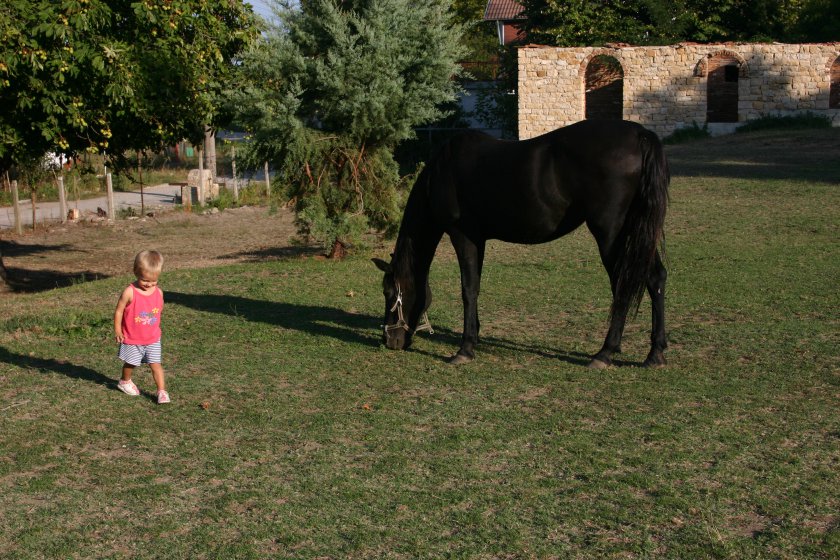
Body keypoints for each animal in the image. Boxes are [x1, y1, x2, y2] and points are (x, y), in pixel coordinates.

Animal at [373, 119, 669, 368]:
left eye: (389, 293)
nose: (389, 341)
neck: (443, 170)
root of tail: (639, 135)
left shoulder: (462, 236)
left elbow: (468, 289)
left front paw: (465, 349)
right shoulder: (479, 239)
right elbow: (475, 286)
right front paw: (474, 337)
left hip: (610, 235)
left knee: (623, 286)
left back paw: (605, 353)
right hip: (636, 233)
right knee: (655, 277)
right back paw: (655, 353)